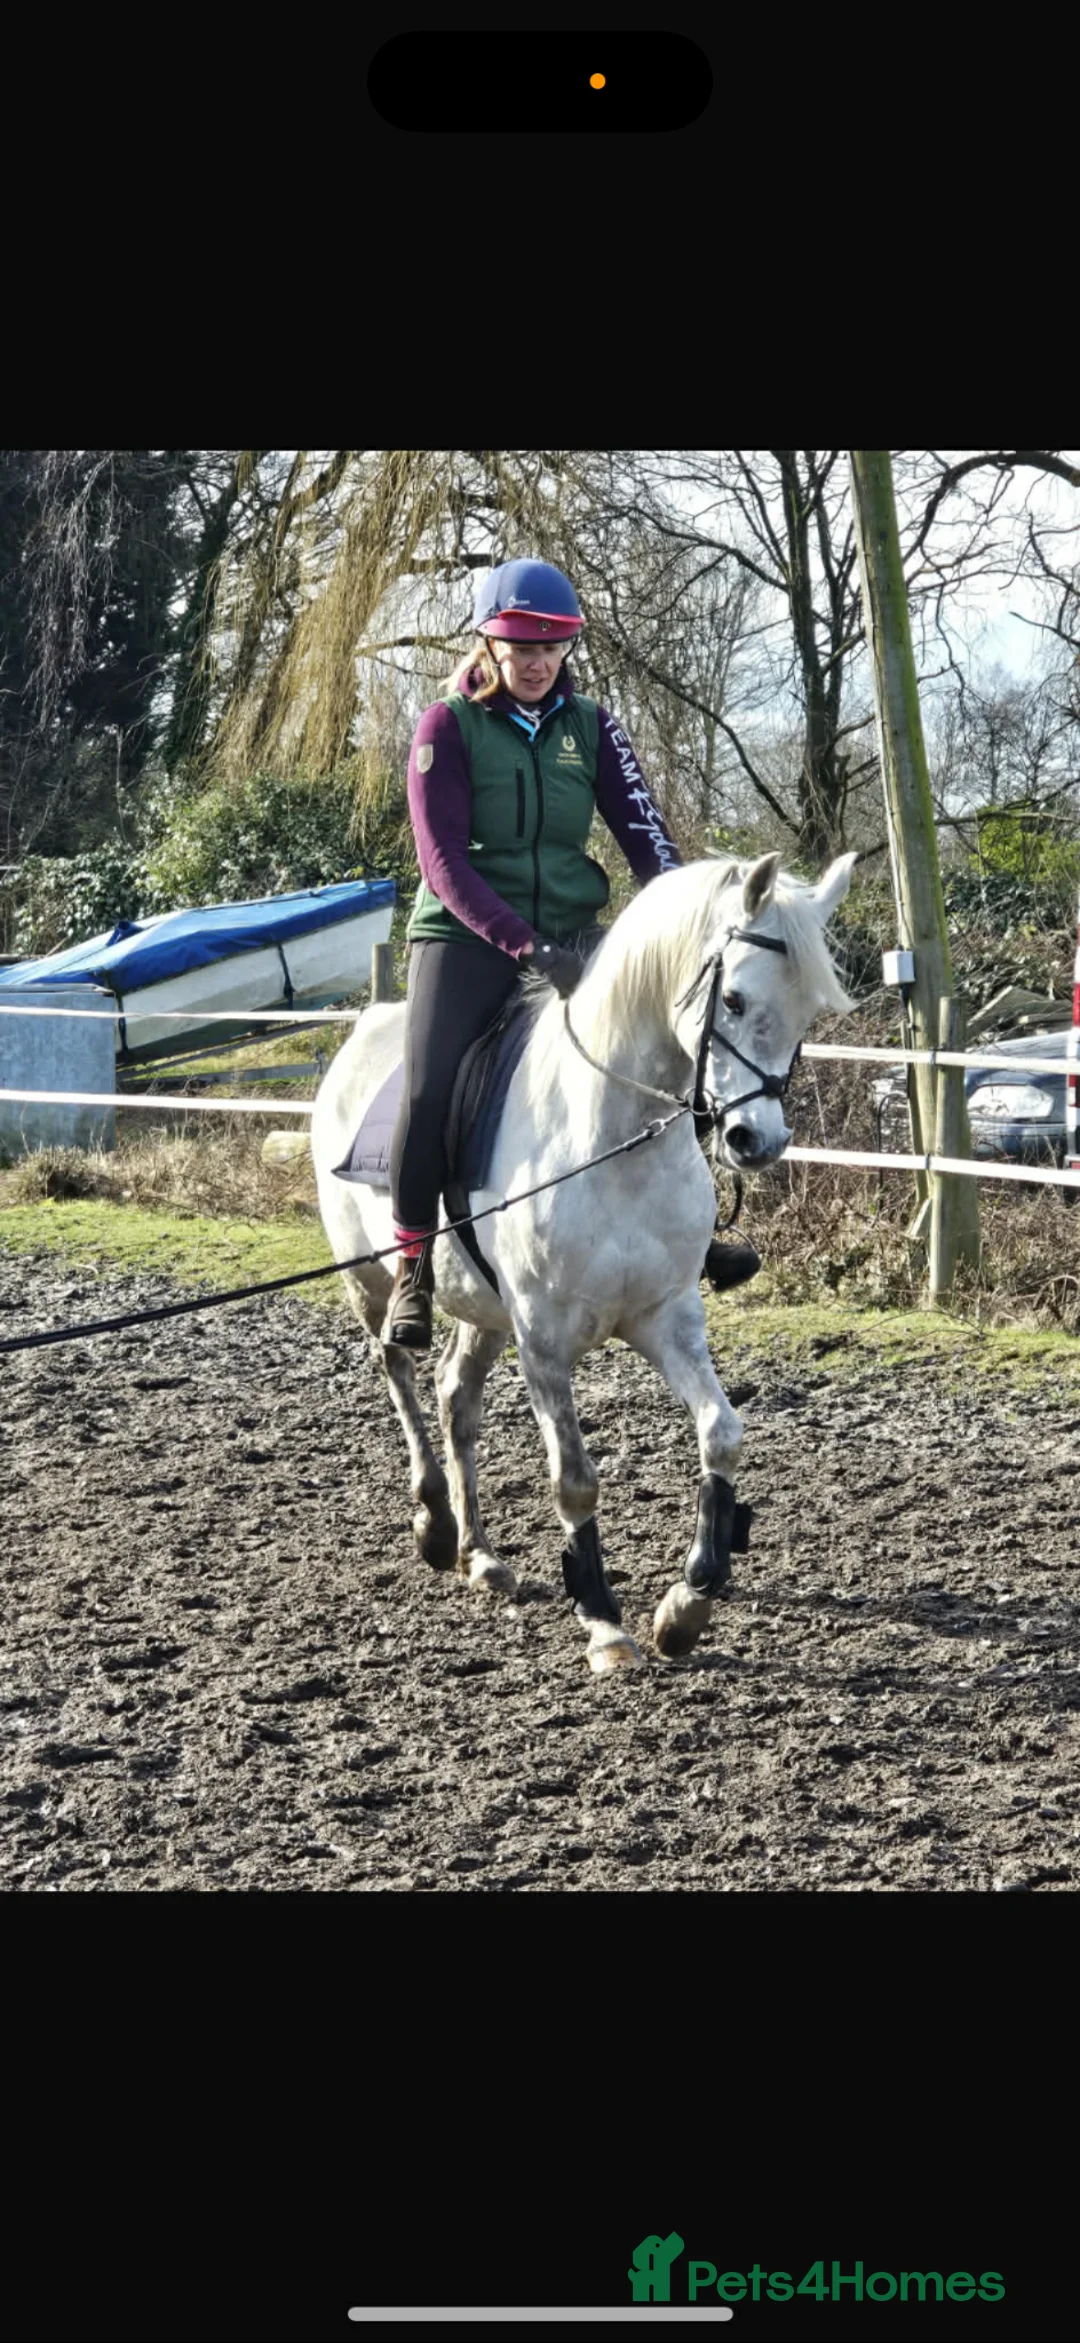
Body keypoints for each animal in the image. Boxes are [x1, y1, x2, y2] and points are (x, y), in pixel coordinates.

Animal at [310, 850, 856, 1674]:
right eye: (731, 999)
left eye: (809, 1013)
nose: (756, 1141)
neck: (613, 1138)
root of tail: (365, 1027)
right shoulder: (543, 1340)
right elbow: (574, 1481)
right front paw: (603, 1621)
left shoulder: (666, 1316)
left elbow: (722, 1433)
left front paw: (688, 1602)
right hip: (370, 1278)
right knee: (398, 1368)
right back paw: (435, 1522)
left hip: (484, 1310)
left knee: (455, 1396)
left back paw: (480, 1555)